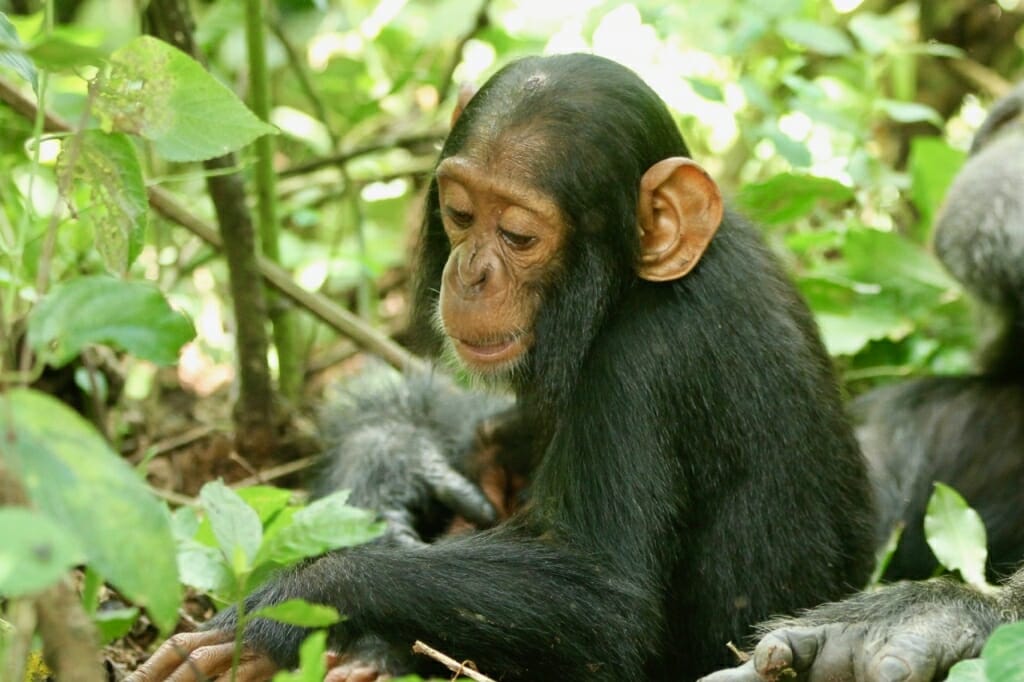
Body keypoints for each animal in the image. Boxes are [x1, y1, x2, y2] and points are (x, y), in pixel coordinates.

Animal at [132, 53, 876, 679]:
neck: (626, 286)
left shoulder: (646, 364)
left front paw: (294, 602)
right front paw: (389, 471)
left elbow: (606, 596)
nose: (471, 272)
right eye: (460, 212)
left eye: (518, 234)